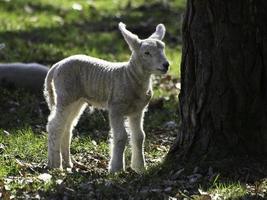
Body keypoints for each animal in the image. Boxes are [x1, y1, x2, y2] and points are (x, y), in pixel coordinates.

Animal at [43, 21, 170, 172]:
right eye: (147, 53)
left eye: (163, 49)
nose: (166, 65)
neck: (129, 76)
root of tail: (56, 65)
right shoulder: (116, 108)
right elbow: (121, 136)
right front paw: (116, 168)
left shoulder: (138, 110)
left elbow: (139, 136)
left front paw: (140, 168)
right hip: (65, 94)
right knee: (54, 126)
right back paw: (55, 164)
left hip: (76, 100)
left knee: (67, 126)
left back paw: (68, 162)